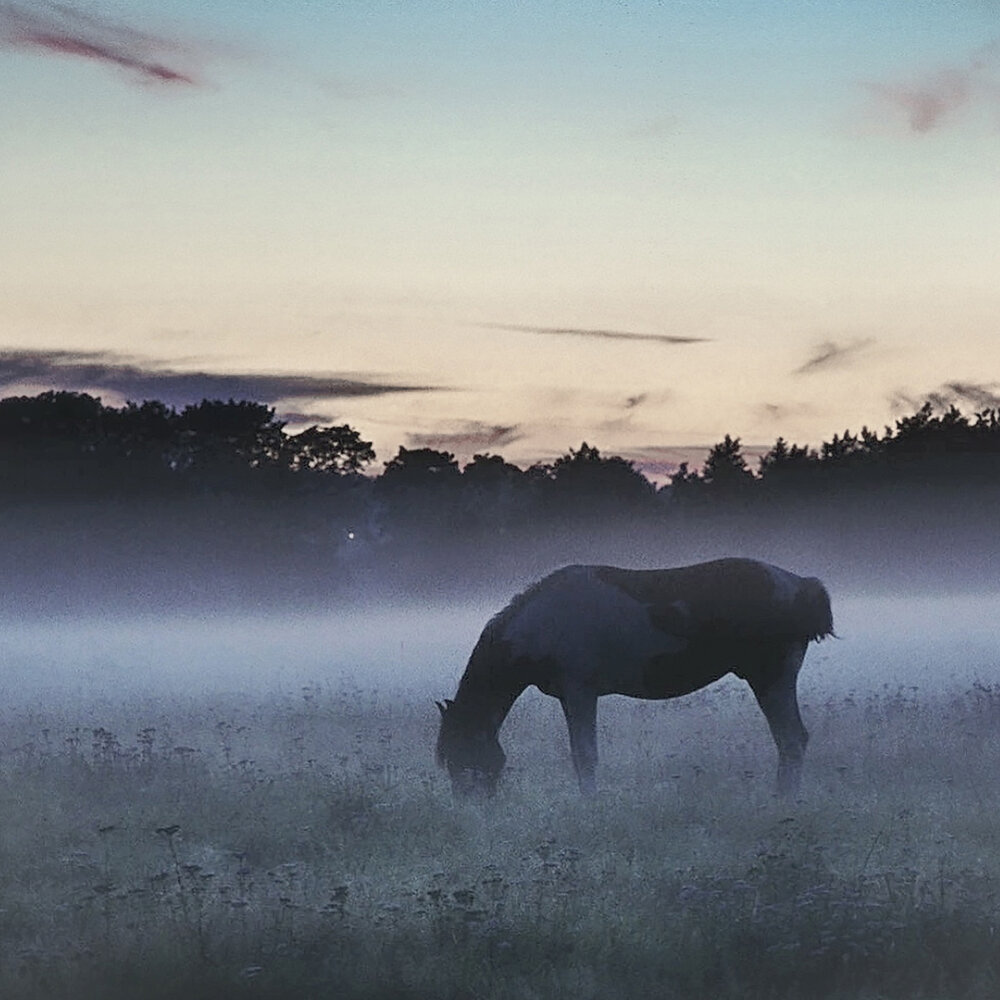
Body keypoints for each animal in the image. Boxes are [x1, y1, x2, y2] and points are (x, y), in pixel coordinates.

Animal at [434, 560, 832, 800]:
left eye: (461, 756)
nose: (472, 808)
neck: (542, 623)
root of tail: (803, 586)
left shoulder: (579, 693)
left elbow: (584, 755)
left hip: (772, 680)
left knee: (791, 741)